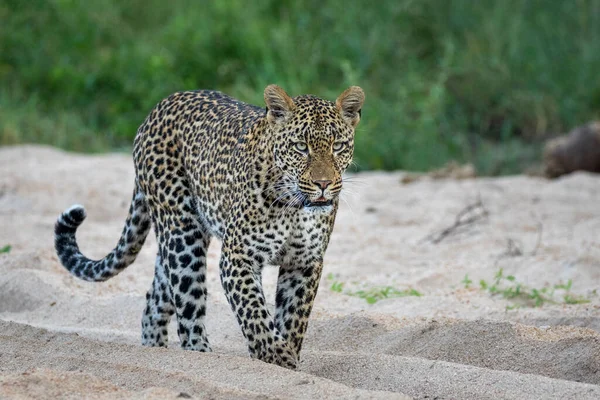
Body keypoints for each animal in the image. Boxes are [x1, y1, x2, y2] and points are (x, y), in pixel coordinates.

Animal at [55, 84, 366, 368]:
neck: (294, 207)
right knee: (187, 307)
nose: (323, 184)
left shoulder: (304, 262)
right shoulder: (238, 257)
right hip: (182, 235)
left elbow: (293, 319)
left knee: (156, 299)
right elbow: (254, 312)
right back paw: (201, 354)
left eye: (338, 146)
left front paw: (284, 361)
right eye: (301, 147)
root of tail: (161, 105)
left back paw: (154, 351)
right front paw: (275, 356)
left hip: (177, 242)